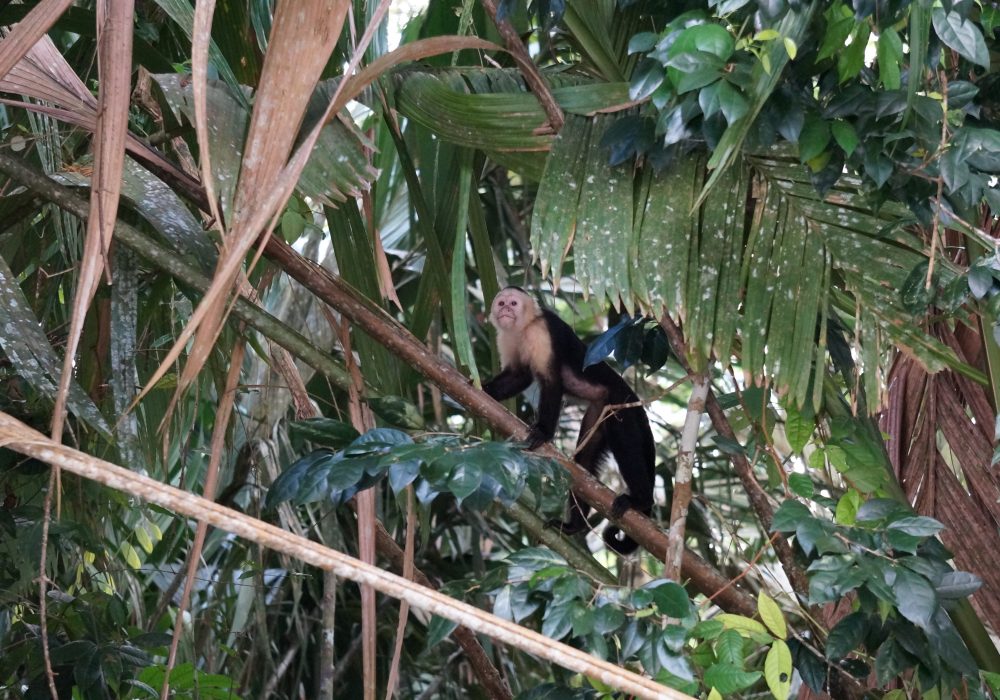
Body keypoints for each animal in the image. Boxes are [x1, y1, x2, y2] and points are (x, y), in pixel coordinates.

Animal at [482, 288, 656, 556]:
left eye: (513, 303)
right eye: (501, 303)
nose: (506, 310)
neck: (523, 327)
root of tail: (632, 396)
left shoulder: (542, 331)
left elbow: (551, 381)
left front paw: (543, 432)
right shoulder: (506, 336)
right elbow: (519, 376)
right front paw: (483, 389)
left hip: (620, 406)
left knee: (625, 445)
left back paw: (640, 499)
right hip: (598, 412)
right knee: (584, 463)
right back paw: (575, 525)